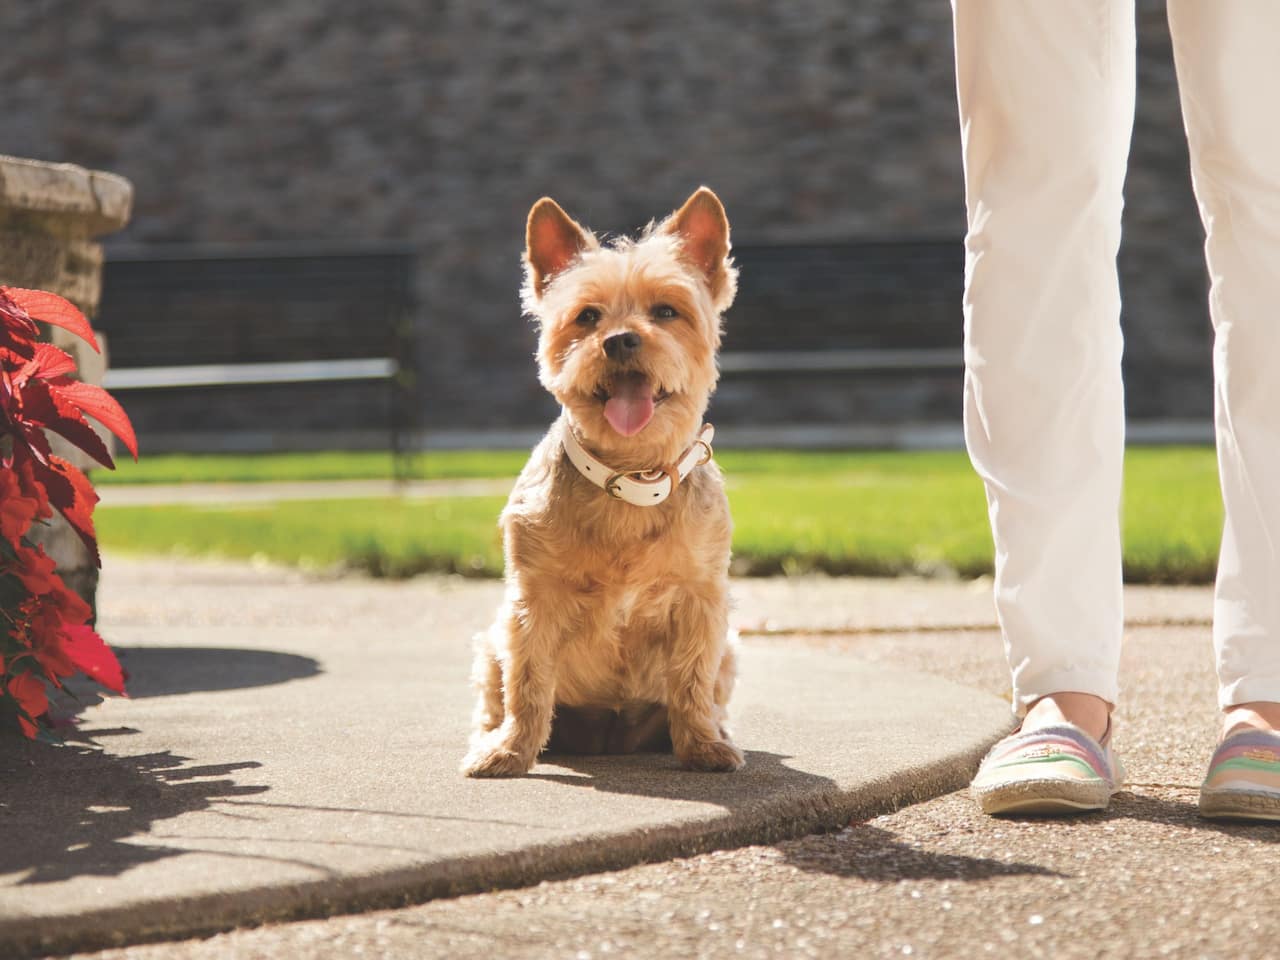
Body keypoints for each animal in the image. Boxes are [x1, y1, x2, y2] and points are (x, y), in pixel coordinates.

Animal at [458, 188, 742, 783]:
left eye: (666, 311)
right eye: (587, 316)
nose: (620, 339)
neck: (631, 478)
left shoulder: (702, 601)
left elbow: (691, 681)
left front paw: (702, 746)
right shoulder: (532, 603)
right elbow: (528, 684)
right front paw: (509, 752)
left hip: (730, 646)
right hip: (492, 640)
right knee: (497, 695)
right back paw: (491, 737)